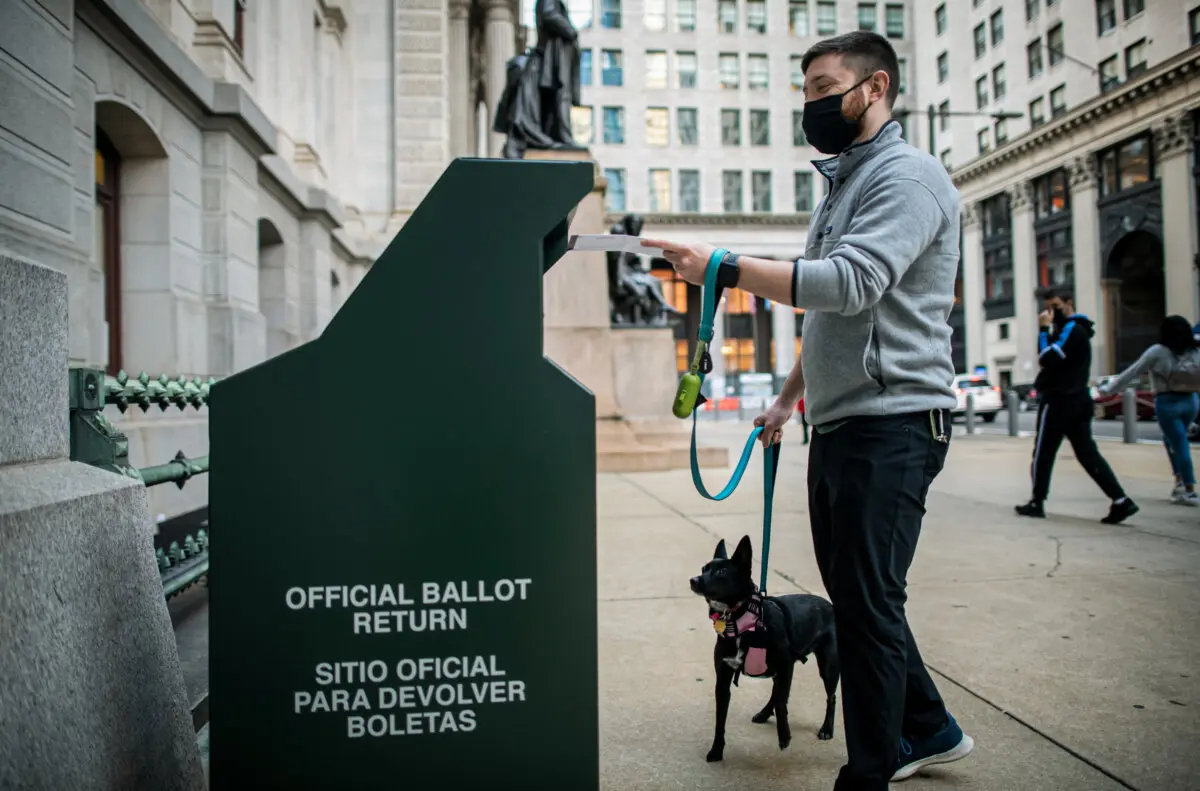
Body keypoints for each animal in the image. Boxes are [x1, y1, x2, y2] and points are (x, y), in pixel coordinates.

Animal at [691, 535, 840, 763]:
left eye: (721, 572)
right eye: (703, 568)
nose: (693, 580)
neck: (742, 621)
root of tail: (830, 605)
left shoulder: (786, 665)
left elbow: (782, 702)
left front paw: (784, 736)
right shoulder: (723, 680)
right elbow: (720, 720)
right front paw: (716, 750)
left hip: (828, 665)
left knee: (829, 697)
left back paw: (826, 729)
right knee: (776, 690)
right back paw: (764, 712)